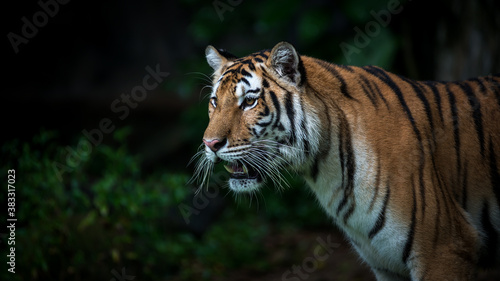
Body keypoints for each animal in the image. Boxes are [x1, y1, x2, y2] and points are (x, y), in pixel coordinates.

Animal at [192, 40, 500, 278]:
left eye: (249, 102)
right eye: (214, 102)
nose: (210, 143)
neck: (325, 168)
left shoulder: (445, 250)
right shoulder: (385, 264)